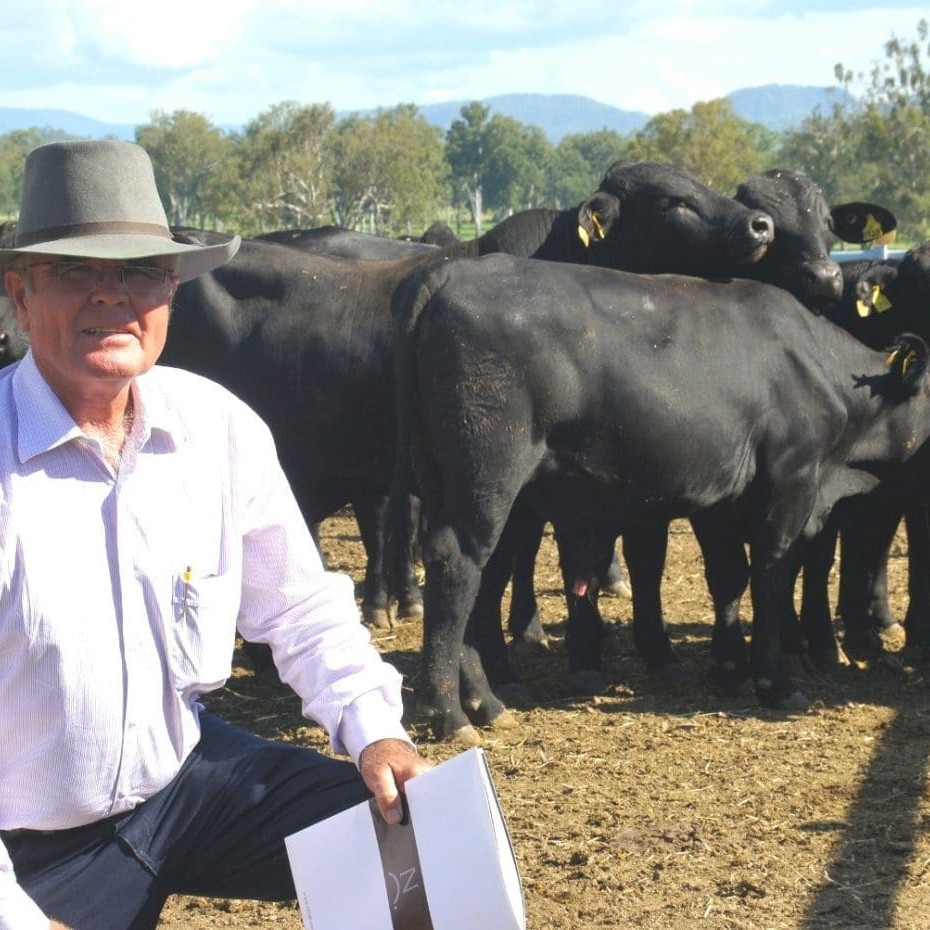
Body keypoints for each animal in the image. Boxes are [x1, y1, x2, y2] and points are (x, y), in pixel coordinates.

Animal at [386, 250, 930, 736]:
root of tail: (452, 272)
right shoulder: (791, 479)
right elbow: (771, 578)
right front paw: (774, 682)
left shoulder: (723, 499)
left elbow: (729, 577)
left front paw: (729, 668)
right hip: (488, 478)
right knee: (458, 565)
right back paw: (450, 713)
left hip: (465, 486)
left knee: (483, 578)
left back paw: (486, 700)